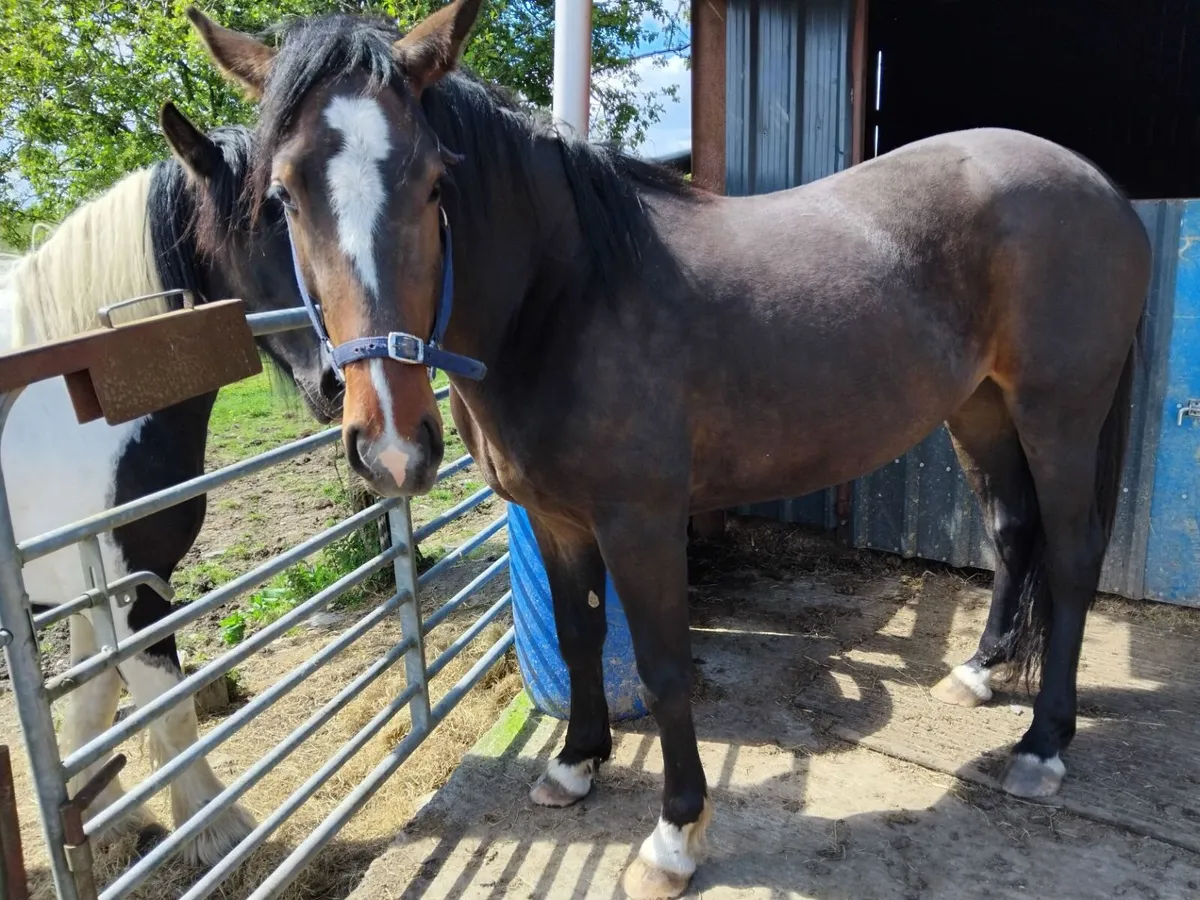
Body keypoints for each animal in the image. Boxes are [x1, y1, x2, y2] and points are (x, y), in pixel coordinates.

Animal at [0, 107, 340, 866]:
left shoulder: (83, 592)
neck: (75, 403)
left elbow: (91, 704)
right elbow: (168, 706)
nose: (342, 378)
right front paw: (214, 826)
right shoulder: (128, 590)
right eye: (267, 216)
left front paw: (108, 821)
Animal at [187, 2, 1150, 895]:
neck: (568, 297)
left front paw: (674, 838)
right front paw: (575, 763)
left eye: (433, 183)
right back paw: (981, 675)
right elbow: (579, 637)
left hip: (1060, 414)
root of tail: (1100, 188)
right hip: (981, 409)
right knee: (1013, 533)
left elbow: (661, 666)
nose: (391, 446)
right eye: (284, 196)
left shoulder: (641, 522)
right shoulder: (556, 520)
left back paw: (1044, 746)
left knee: (1071, 557)